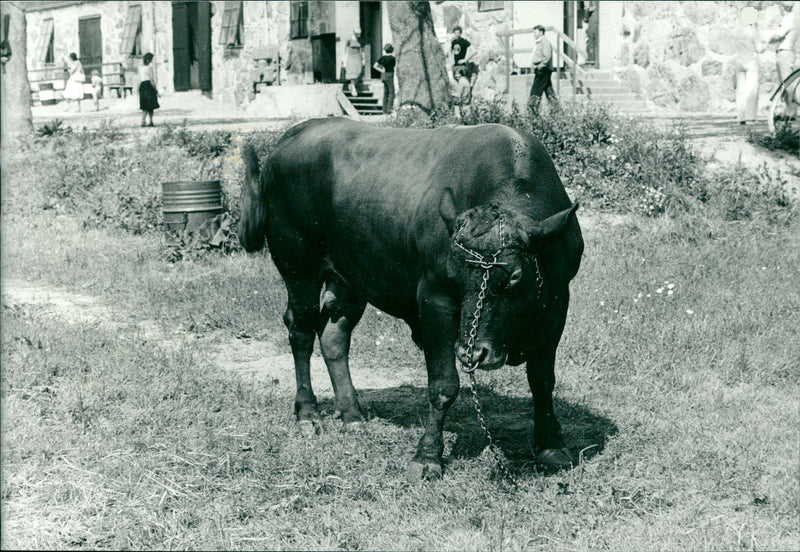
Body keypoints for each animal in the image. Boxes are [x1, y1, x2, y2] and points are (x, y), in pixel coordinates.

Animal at [239, 117, 583, 479]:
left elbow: (542, 380)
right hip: (297, 265)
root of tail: (294, 135)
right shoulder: (435, 299)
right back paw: (308, 414)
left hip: (351, 276)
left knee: (333, 334)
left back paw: (352, 415)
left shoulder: (558, 302)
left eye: (516, 275)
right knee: (301, 332)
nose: (473, 351)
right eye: (459, 271)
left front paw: (551, 446)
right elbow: (444, 385)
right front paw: (427, 455)